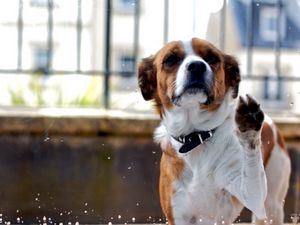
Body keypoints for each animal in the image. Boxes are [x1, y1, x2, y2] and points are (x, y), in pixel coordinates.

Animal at [138, 38, 290, 225]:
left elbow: (252, 174)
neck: (197, 138)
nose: (197, 66)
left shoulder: (251, 195)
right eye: (170, 59)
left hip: (271, 205)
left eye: (212, 58)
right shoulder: (178, 213)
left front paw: (249, 127)